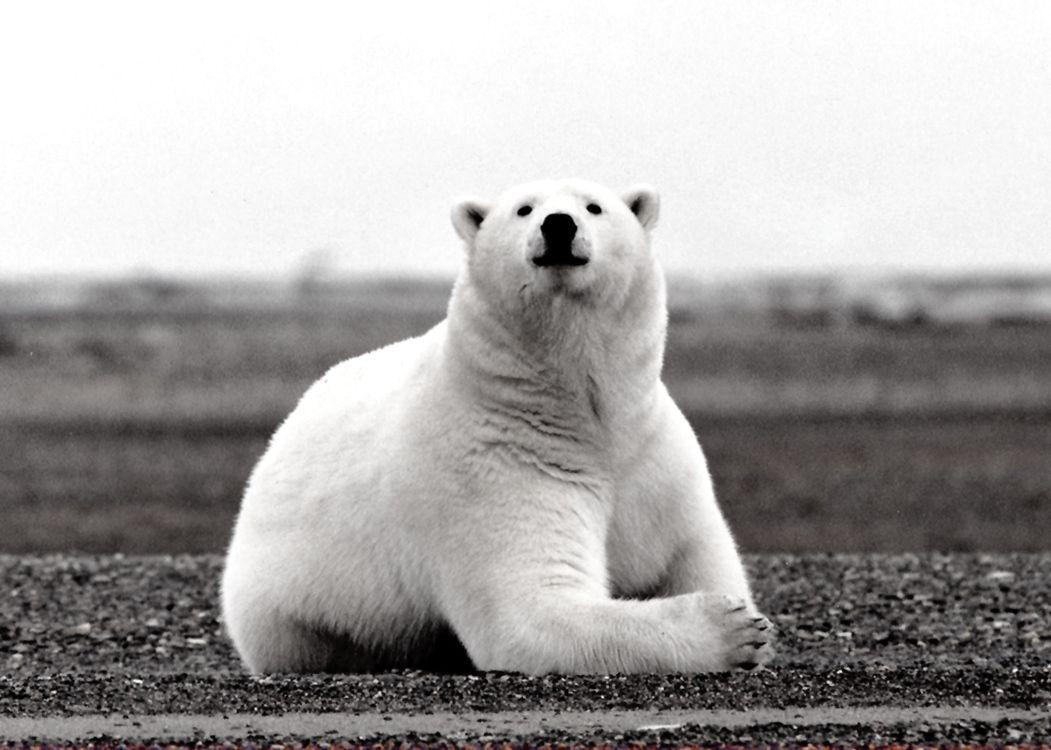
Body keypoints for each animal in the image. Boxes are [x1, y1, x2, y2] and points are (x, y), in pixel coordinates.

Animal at [220, 179, 774, 675]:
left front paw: (752, 623)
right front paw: (731, 630)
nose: (558, 224)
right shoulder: (497, 462)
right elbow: (532, 608)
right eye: (523, 208)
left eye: (594, 206)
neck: (582, 412)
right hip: (294, 605)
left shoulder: (654, 457)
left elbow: (695, 549)